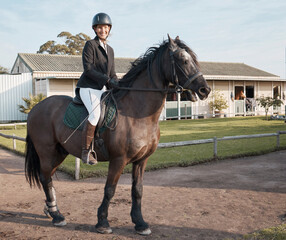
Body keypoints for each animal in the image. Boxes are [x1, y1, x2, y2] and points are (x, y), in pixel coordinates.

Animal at [25, 35, 210, 234]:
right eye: (183, 59)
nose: (205, 90)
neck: (137, 112)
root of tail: (35, 108)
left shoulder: (141, 160)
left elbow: (138, 190)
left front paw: (140, 223)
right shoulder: (118, 159)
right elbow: (109, 189)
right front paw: (102, 222)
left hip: (59, 153)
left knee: (48, 178)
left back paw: (52, 210)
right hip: (47, 152)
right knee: (45, 177)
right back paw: (57, 216)